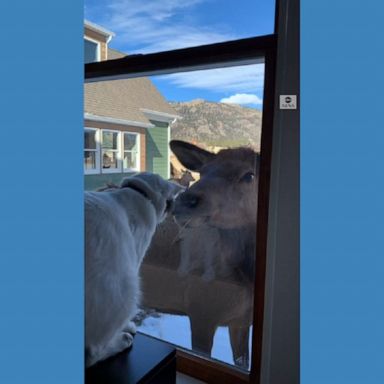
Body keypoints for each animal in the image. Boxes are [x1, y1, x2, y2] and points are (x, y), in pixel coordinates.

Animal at [85, 173, 182, 366]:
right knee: (92, 354)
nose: (172, 212)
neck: (138, 192)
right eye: (170, 203)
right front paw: (129, 327)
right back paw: (122, 341)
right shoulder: (134, 259)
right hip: (127, 288)